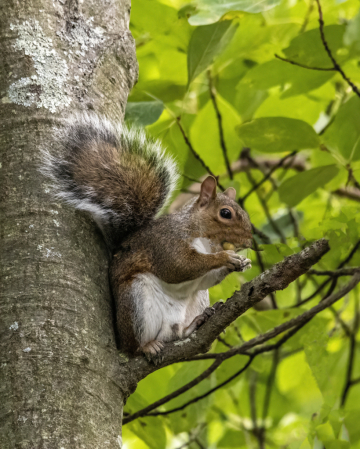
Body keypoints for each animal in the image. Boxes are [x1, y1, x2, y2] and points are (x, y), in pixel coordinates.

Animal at [43, 113, 253, 356]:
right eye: (225, 213)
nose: (249, 241)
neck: (204, 239)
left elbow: (204, 279)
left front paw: (241, 262)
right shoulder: (164, 242)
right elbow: (179, 266)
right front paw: (226, 258)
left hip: (193, 303)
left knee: (180, 333)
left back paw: (197, 322)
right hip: (136, 301)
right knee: (134, 346)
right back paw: (147, 346)